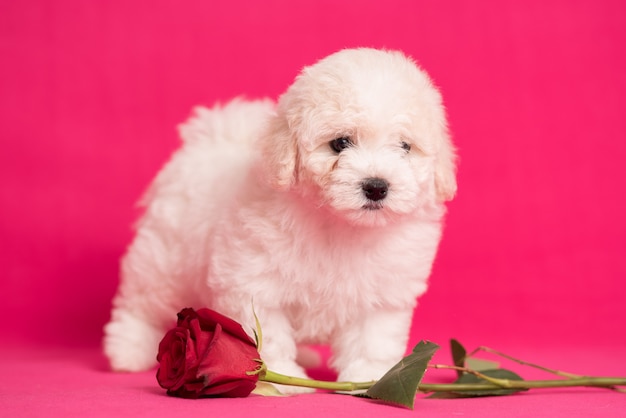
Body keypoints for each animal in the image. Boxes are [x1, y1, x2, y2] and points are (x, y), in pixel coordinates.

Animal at [102, 47, 454, 390]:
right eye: (340, 143)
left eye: (405, 146)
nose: (377, 186)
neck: (339, 224)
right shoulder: (253, 281)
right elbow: (268, 335)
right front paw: (284, 376)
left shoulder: (383, 295)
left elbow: (372, 340)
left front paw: (371, 377)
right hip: (165, 260)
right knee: (141, 303)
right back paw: (127, 349)